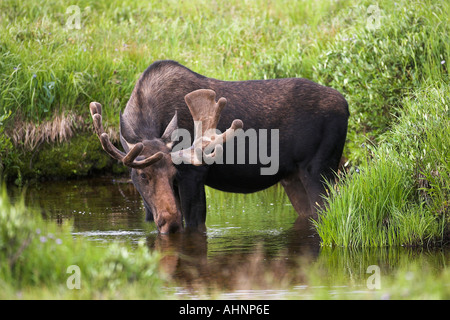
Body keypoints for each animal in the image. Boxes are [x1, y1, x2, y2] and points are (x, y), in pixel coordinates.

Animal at [89, 60, 350, 234]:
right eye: (142, 176)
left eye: (174, 173)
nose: (170, 222)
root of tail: (347, 107)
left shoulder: (194, 175)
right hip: (292, 177)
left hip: (319, 169)